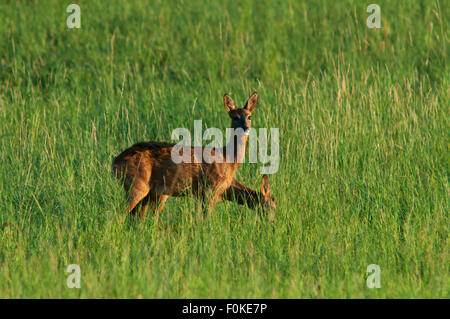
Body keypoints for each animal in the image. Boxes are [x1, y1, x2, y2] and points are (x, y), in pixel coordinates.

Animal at [111, 93, 260, 222]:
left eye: (249, 116)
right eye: (235, 117)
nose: (246, 128)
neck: (227, 159)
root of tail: (115, 162)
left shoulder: (201, 194)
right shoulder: (209, 189)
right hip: (137, 184)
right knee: (119, 213)